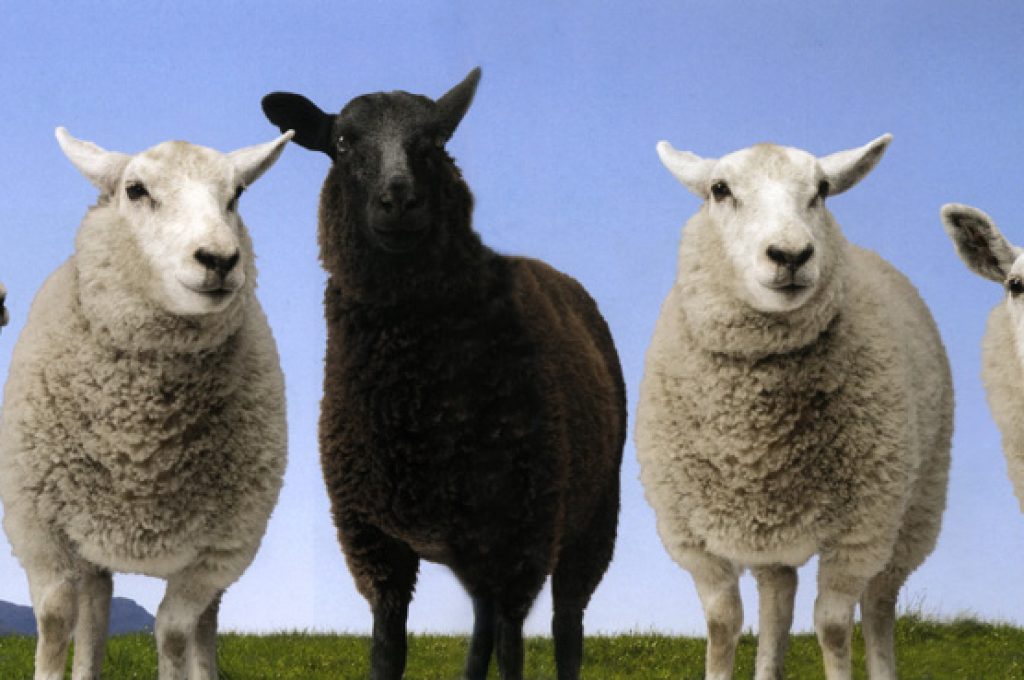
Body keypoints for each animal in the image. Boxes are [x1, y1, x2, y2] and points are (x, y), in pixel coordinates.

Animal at [0, 127, 292, 680]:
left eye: (236, 195)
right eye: (136, 190)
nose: (220, 260)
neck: (137, 446)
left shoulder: (218, 551)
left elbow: (174, 632)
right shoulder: (40, 529)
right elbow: (55, 621)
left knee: (204, 624)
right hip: (90, 538)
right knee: (95, 612)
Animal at [261, 68, 627, 680]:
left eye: (433, 142)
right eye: (343, 143)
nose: (398, 199)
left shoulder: (522, 535)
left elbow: (514, 651)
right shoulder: (371, 538)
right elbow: (388, 650)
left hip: (590, 515)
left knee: (565, 625)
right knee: (482, 624)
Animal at [635, 135, 952, 680]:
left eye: (822, 190)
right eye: (720, 190)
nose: (791, 254)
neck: (756, 437)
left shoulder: (859, 531)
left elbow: (834, 628)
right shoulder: (694, 538)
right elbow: (722, 625)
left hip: (914, 504)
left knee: (880, 604)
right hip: (768, 527)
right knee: (777, 597)